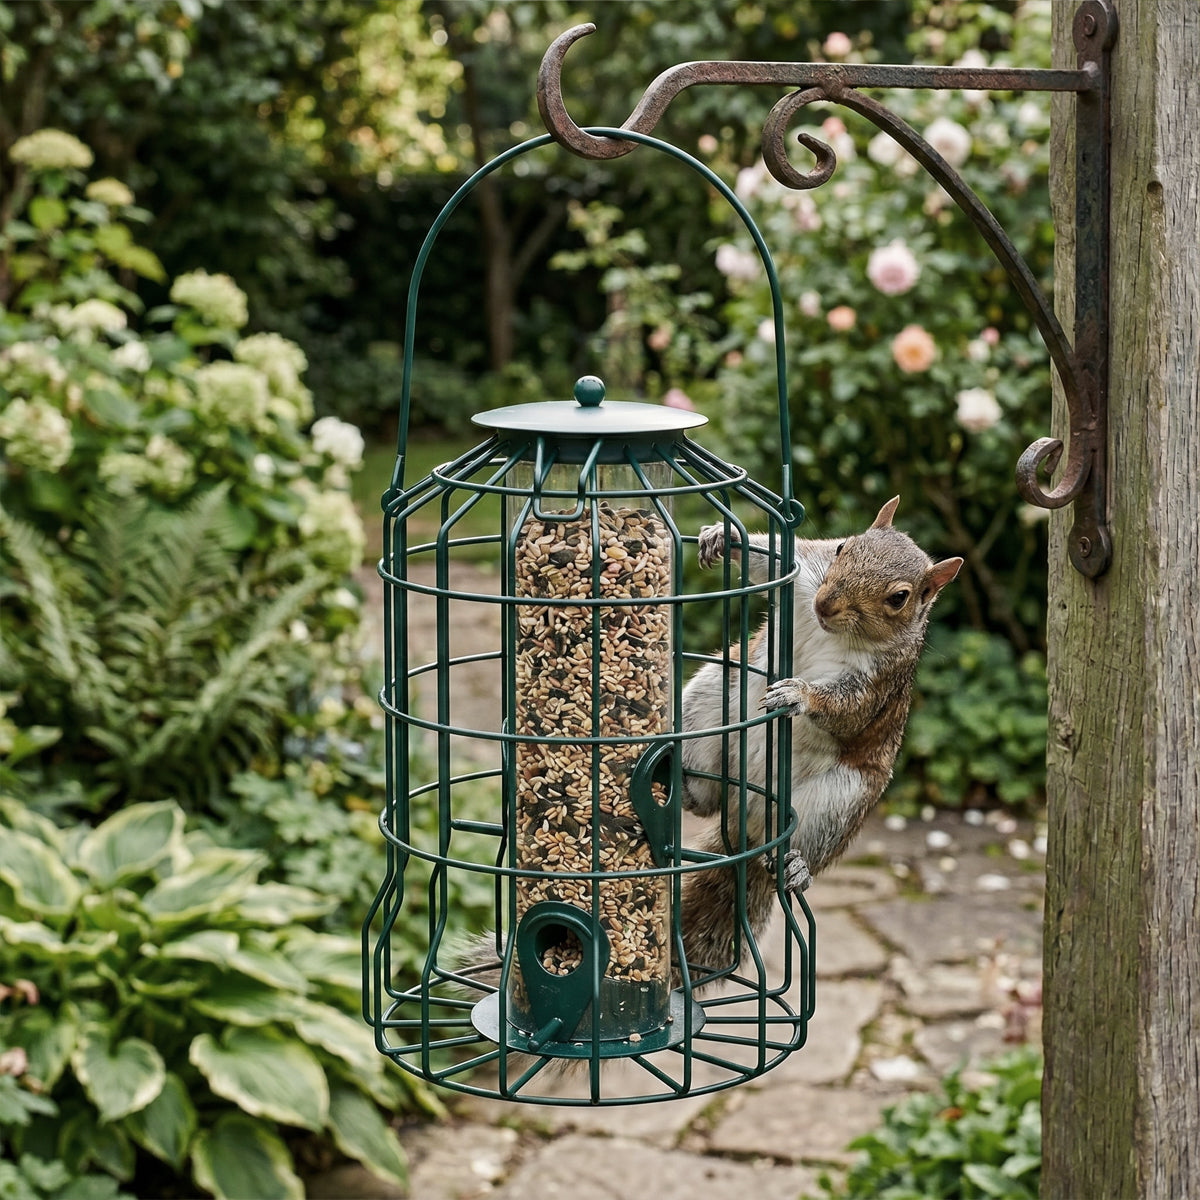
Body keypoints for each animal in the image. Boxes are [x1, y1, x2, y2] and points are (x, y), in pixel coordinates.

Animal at [677, 496, 962, 976]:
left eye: (899, 598)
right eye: (843, 547)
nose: (826, 604)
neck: (836, 631)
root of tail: (749, 826)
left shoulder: (877, 683)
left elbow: (845, 711)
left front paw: (800, 694)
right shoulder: (804, 573)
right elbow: (772, 562)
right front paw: (724, 536)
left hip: (841, 799)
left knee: (802, 846)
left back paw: (795, 867)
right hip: (713, 694)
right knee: (704, 801)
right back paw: (680, 781)